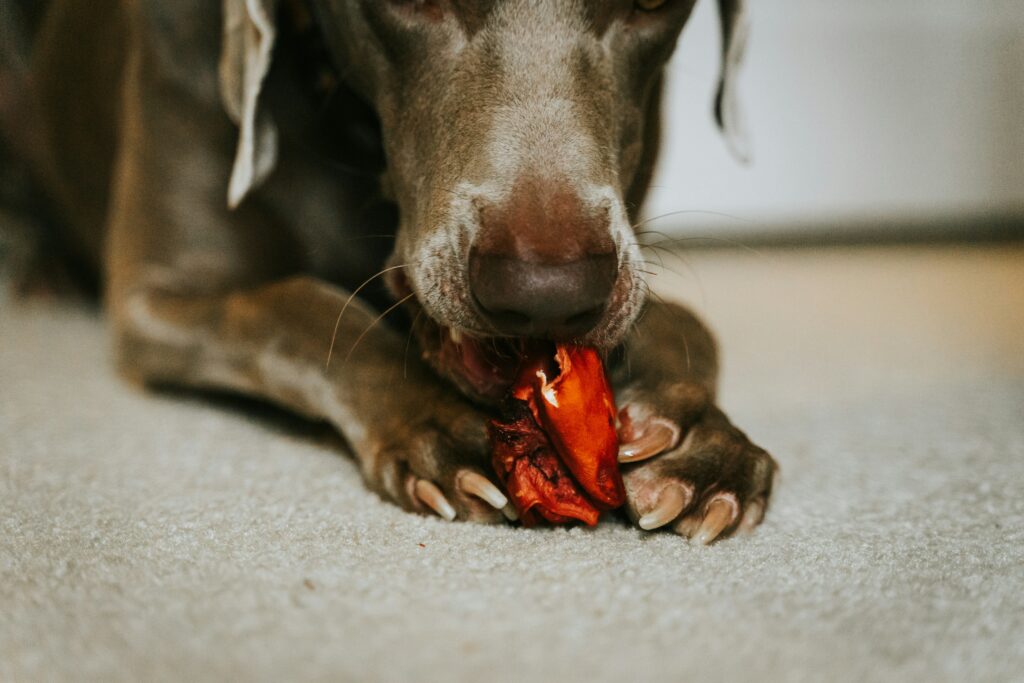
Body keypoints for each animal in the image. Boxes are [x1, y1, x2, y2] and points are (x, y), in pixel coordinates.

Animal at [4, 1, 774, 544]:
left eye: (651, 0)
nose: (544, 296)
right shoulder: (154, 297)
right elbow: (298, 306)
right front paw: (436, 423)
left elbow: (688, 322)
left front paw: (702, 441)